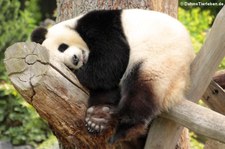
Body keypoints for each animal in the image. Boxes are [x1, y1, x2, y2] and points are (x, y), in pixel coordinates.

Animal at [31, 9, 195, 143]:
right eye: (66, 67)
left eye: (62, 47)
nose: (75, 60)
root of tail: (182, 78)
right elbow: (106, 83)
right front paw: (98, 116)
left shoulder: (101, 26)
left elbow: (112, 60)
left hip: (159, 59)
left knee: (140, 91)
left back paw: (126, 129)